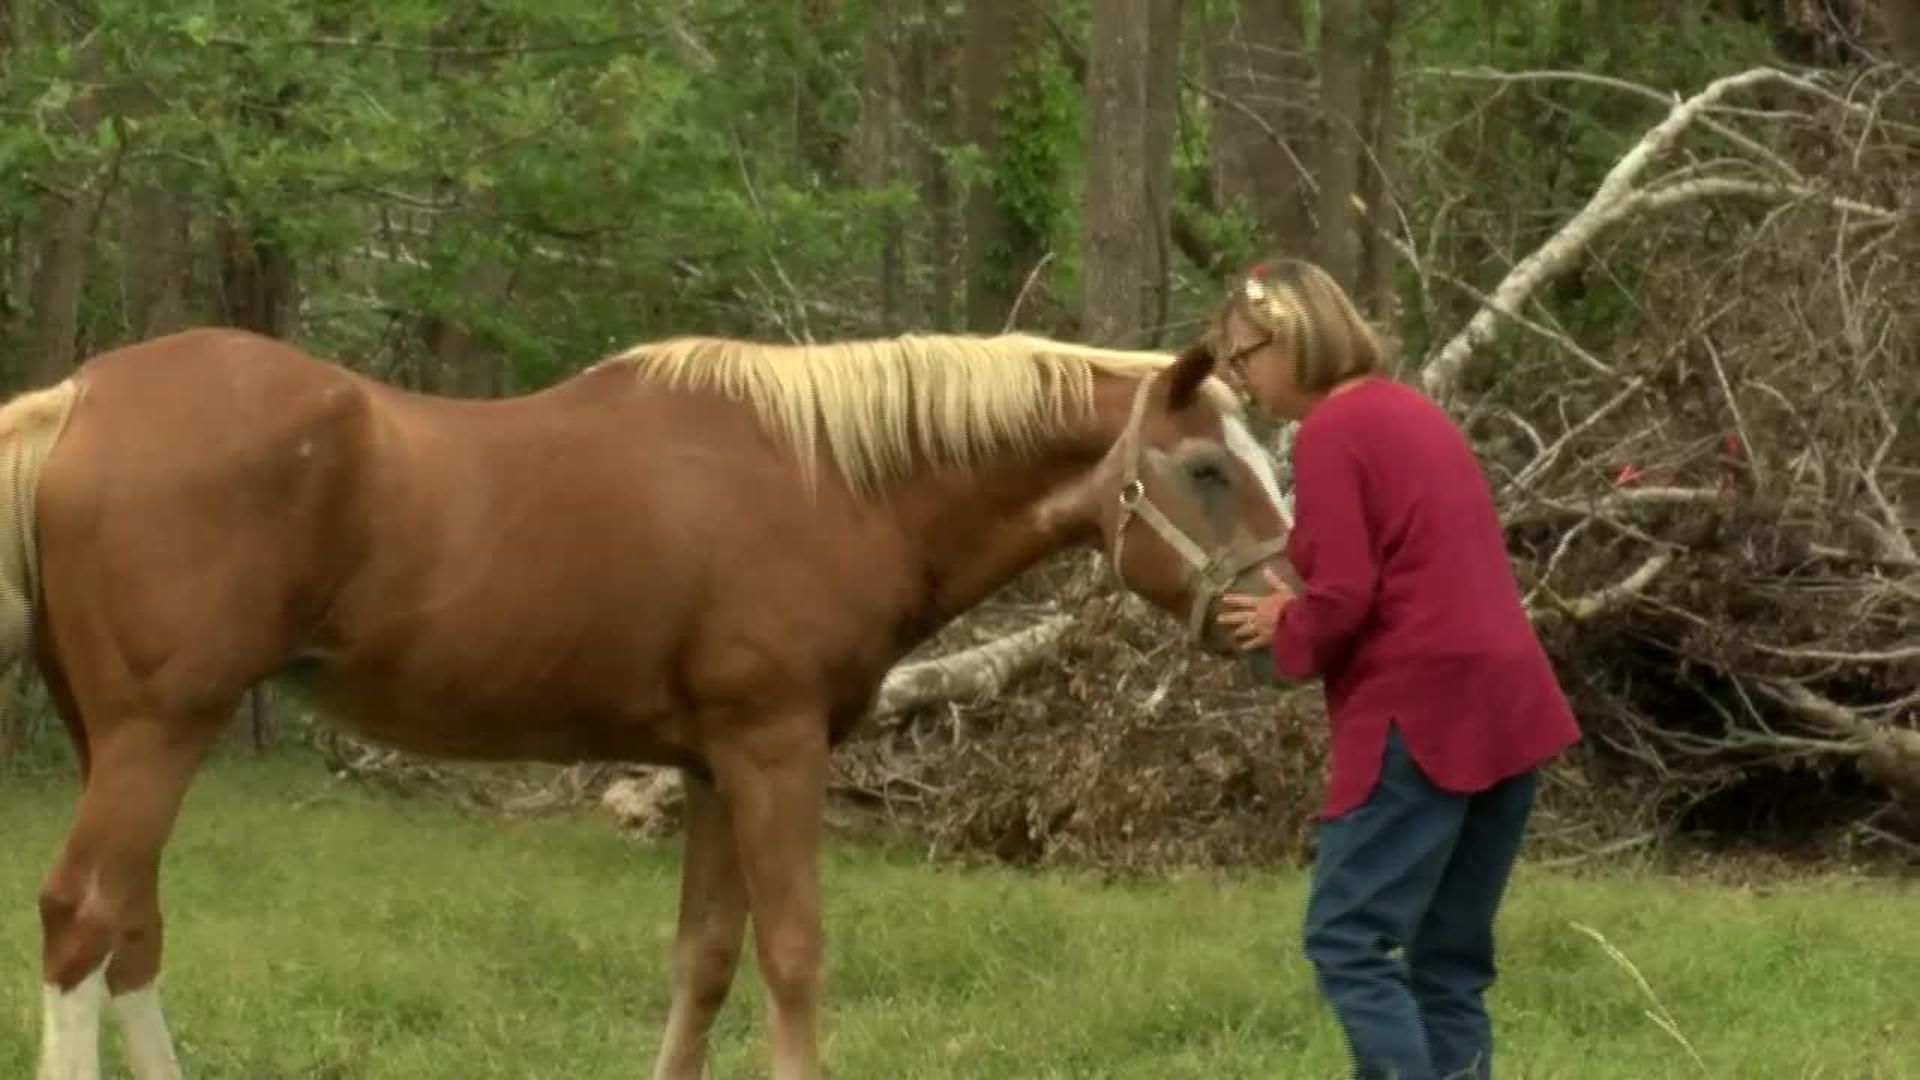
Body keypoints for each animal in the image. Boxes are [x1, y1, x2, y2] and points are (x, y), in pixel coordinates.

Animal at [0, 325, 1294, 1080]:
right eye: (1206, 469)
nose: (1279, 618)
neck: (830, 479)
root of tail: (77, 398)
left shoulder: (712, 764)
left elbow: (705, 961)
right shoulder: (773, 750)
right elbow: (792, 956)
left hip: (122, 737)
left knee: (132, 932)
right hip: (158, 734)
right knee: (82, 921)